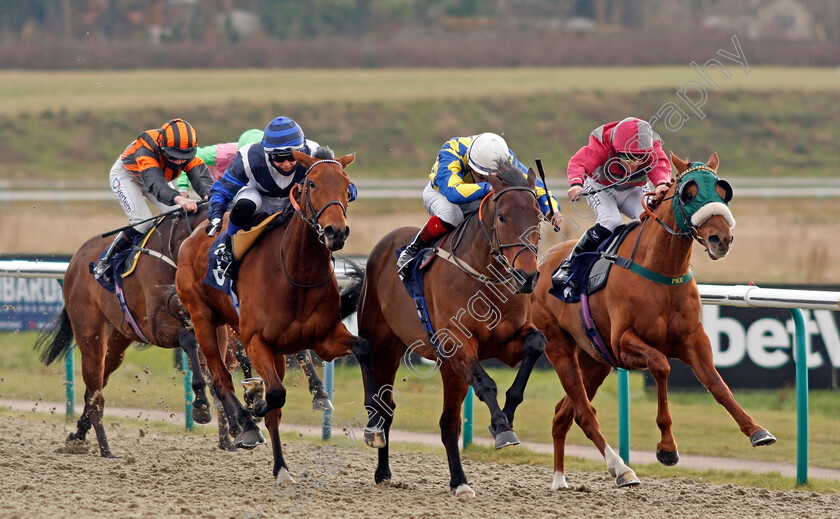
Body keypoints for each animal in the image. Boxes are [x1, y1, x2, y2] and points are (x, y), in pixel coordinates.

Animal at [175, 148, 368, 486]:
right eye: (312, 184)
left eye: (348, 186)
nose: (336, 231)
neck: (295, 274)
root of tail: (194, 236)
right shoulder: (255, 340)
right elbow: (274, 394)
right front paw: (255, 402)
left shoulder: (325, 337)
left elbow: (363, 348)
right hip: (203, 318)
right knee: (220, 378)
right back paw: (246, 425)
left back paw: (281, 467)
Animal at [346, 161, 548, 496]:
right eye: (502, 216)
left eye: (538, 215)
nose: (527, 276)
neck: (483, 276)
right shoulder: (457, 343)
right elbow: (486, 383)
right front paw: (501, 427)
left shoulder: (506, 342)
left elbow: (536, 344)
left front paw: (506, 416)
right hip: (384, 343)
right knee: (382, 400)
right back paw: (377, 440)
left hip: (445, 367)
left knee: (447, 422)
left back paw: (456, 480)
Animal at [528, 151, 776, 492]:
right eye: (689, 192)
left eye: (722, 190)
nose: (720, 239)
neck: (662, 269)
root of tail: (541, 263)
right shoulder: (624, 342)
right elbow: (661, 365)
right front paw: (667, 448)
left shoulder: (693, 339)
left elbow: (717, 384)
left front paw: (756, 430)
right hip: (560, 347)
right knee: (584, 413)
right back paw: (621, 469)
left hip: (595, 360)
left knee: (564, 413)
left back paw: (560, 479)